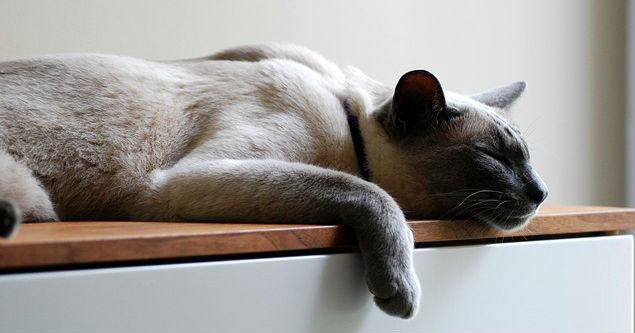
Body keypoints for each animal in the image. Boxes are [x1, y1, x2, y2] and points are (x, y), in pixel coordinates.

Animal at [0, 43, 548, 316]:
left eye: (527, 159)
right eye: (494, 157)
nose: (542, 193)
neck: (345, 125)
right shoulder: (191, 178)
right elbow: (371, 192)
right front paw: (400, 291)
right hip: (37, 191)